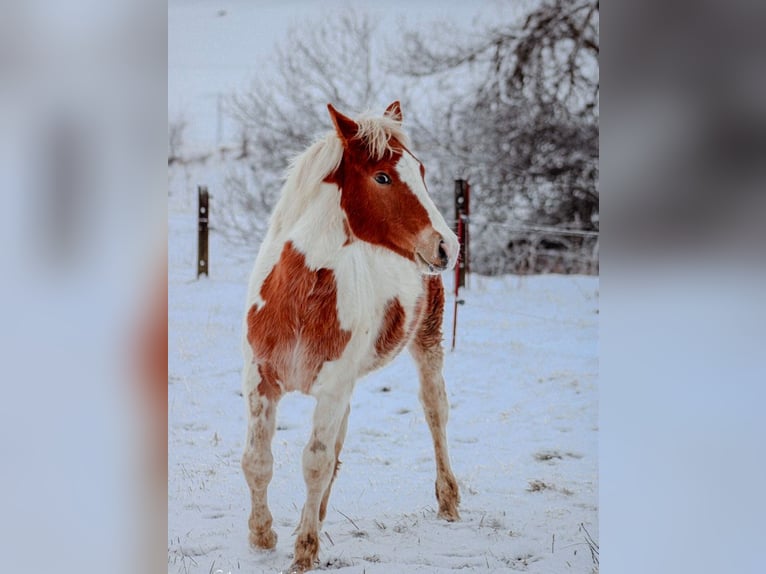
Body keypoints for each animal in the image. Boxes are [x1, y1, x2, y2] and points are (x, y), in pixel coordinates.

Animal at [244, 101, 462, 572]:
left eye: (421, 170)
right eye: (382, 177)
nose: (447, 246)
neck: (298, 299)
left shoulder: (331, 387)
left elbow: (315, 461)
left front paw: (303, 552)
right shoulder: (260, 379)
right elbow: (257, 461)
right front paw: (262, 536)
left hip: (428, 342)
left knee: (435, 412)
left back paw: (449, 500)